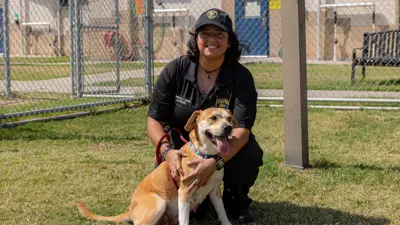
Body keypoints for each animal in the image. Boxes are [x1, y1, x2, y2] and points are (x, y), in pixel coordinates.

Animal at [76, 108, 236, 224]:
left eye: (229, 118)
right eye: (213, 118)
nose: (228, 128)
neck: (204, 155)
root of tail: (131, 210)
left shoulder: (215, 191)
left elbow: (222, 213)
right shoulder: (184, 193)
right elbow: (184, 221)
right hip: (158, 203)